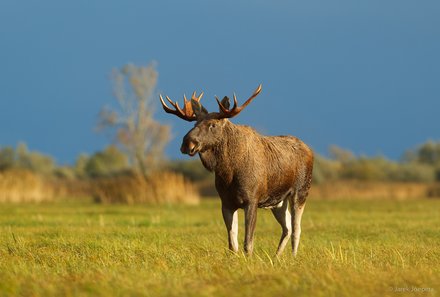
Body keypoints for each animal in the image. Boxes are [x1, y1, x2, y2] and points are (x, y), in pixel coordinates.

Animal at [160, 84, 314, 256]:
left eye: (212, 125)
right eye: (194, 124)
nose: (187, 143)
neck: (228, 171)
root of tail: (310, 150)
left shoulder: (252, 200)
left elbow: (248, 242)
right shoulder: (226, 203)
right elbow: (232, 244)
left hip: (300, 192)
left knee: (296, 228)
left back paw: (292, 257)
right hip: (278, 201)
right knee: (287, 228)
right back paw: (276, 257)